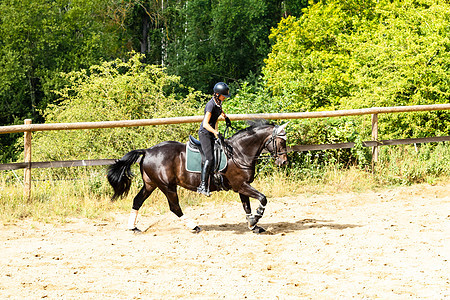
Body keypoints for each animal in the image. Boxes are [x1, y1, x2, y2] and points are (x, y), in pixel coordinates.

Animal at [107, 120, 288, 233]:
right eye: (281, 142)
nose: (284, 162)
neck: (239, 152)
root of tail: (147, 151)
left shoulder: (242, 186)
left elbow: (247, 206)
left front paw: (253, 225)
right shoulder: (240, 185)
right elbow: (263, 198)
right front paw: (256, 219)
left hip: (150, 184)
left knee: (137, 200)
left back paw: (133, 228)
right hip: (167, 186)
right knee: (175, 207)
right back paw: (194, 227)